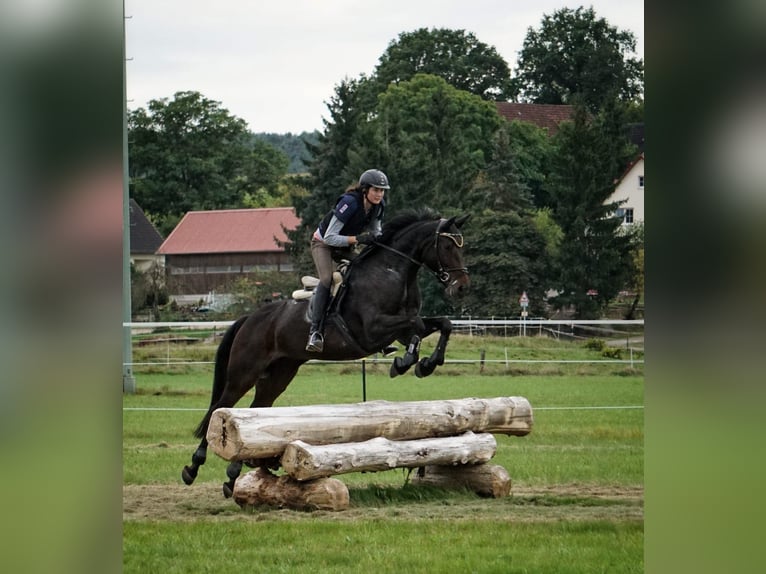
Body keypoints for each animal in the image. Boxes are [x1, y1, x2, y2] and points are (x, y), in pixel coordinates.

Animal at [183, 209, 472, 498]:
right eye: (448, 247)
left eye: (461, 246)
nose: (461, 288)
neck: (392, 272)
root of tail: (250, 318)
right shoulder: (372, 330)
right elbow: (417, 326)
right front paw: (406, 362)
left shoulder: (398, 329)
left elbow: (442, 324)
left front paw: (426, 363)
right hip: (244, 372)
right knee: (220, 407)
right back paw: (193, 468)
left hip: (279, 374)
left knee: (255, 412)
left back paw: (233, 477)